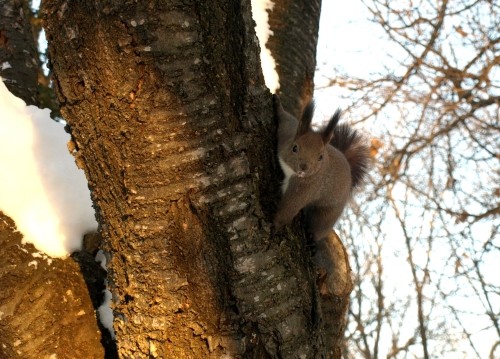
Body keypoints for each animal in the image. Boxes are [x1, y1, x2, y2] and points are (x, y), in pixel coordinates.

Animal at [272, 94, 370, 243]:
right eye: (294, 148)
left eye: (320, 157)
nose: (304, 167)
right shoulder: (286, 136)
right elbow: (287, 120)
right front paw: (278, 105)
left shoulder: (306, 189)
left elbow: (288, 209)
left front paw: (274, 225)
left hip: (328, 214)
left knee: (319, 227)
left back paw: (312, 237)